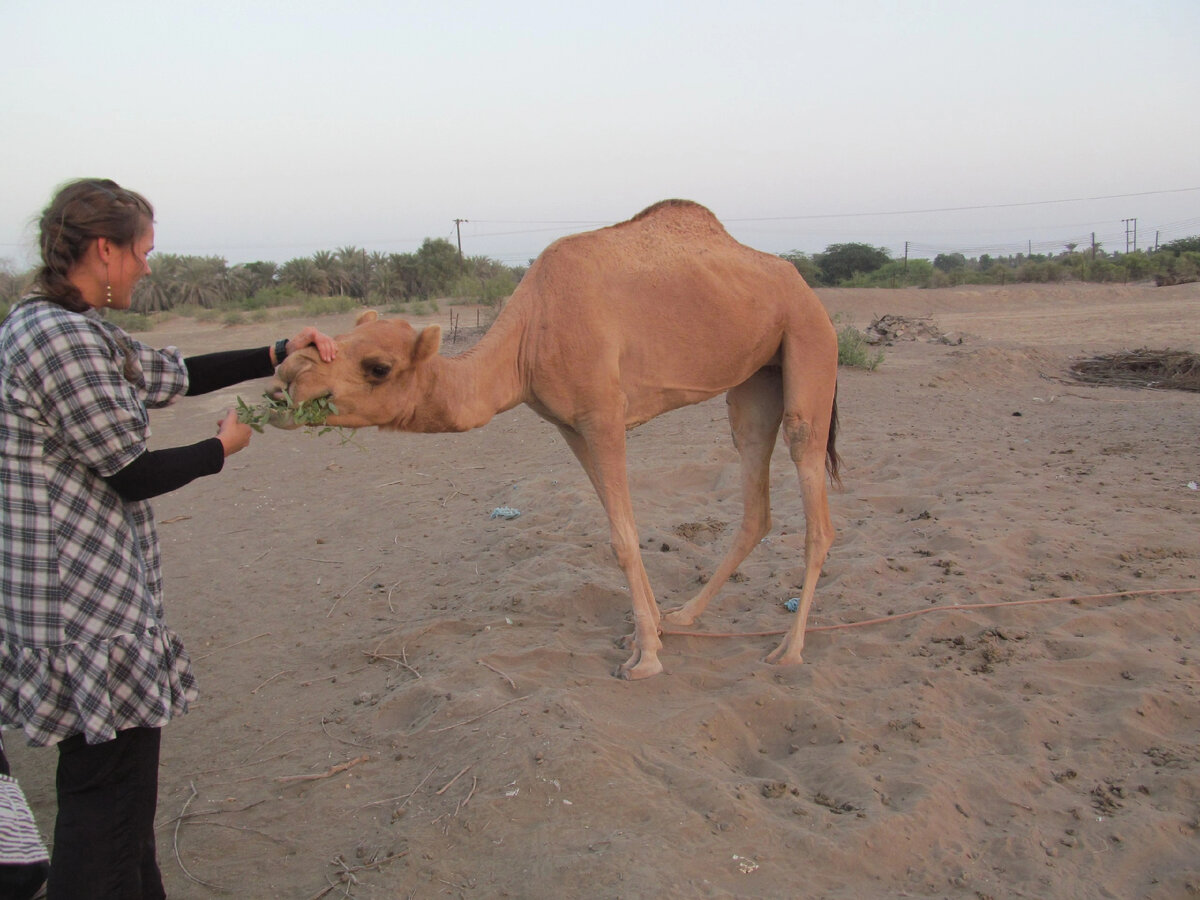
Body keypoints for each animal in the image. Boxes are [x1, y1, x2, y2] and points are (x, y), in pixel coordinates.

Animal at [272, 200, 840, 681]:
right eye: (335, 340)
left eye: (378, 367)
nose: (288, 374)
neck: (529, 337)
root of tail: (804, 287)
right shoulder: (570, 426)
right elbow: (621, 528)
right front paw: (652, 632)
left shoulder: (605, 416)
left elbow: (622, 538)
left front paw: (645, 658)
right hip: (757, 375)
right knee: (754, 483)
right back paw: (686, 614)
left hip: (809, 339)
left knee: (813, 491)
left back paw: (789, 650)